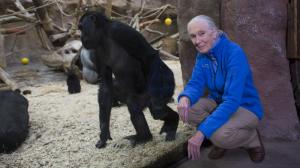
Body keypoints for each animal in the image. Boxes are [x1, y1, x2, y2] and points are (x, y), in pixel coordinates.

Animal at [77, 11, 179, 148]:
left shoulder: (121, 31)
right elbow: (105, 87)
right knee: (136, 106)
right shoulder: (95, 51)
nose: (81, 38)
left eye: (81, 28)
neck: (104, 37)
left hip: (159, 84)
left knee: (154, 107)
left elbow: (149, 55)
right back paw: (149, 134)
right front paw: (103, 134)